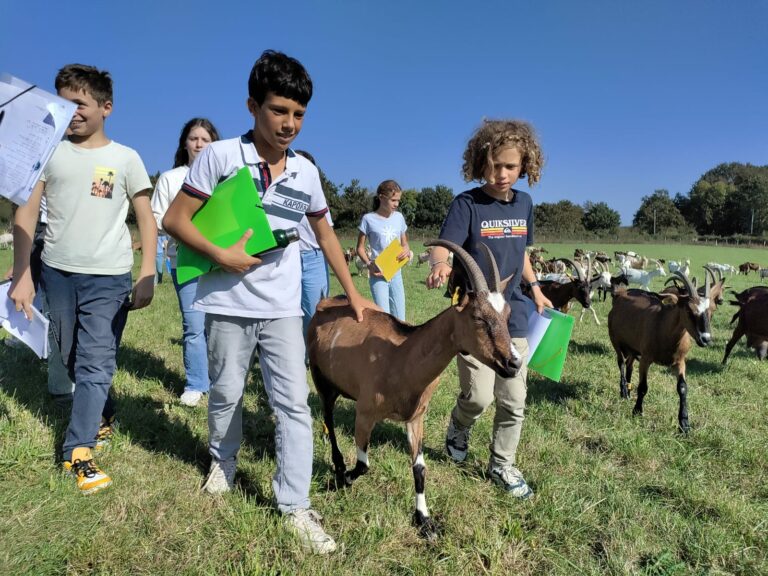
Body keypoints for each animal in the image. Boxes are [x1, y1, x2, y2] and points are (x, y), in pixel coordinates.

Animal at [306, 237, 520, 540]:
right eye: (478, 317)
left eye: (507, 314)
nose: (514, 363)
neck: (402, 355)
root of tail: (325, 303)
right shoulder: (365, 413)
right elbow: (363, 464)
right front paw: (343, 478)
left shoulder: (415, 418)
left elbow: (419, 468)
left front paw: (425, 520)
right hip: (321, 377)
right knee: (328, 417)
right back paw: (337, 465)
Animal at [608, 272, 724, 432]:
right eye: (688, 310)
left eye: (711, 310)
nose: (705, 339)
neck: (663, 326)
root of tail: (620, 294)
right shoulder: (645, 359)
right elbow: (643, 387)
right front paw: (637, 411)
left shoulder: (680, 362)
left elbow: (682, 388)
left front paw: (684, 424)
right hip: (616, 341)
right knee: (621, 363)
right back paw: (624, 391)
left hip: (633, 348)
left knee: (629, 364)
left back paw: (628, 392)